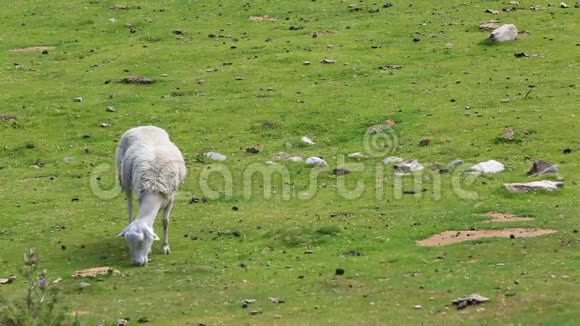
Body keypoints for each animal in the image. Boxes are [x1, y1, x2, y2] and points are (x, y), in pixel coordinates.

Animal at [113, 125, 186, 264]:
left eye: (141, 242)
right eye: (129, 244)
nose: (137, 263)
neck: (153, 191)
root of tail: (143, 126)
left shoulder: (170, 198)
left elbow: (165, 221)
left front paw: (165, 246)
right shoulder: (141, 196)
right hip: (125, 180)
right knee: (130, 207)